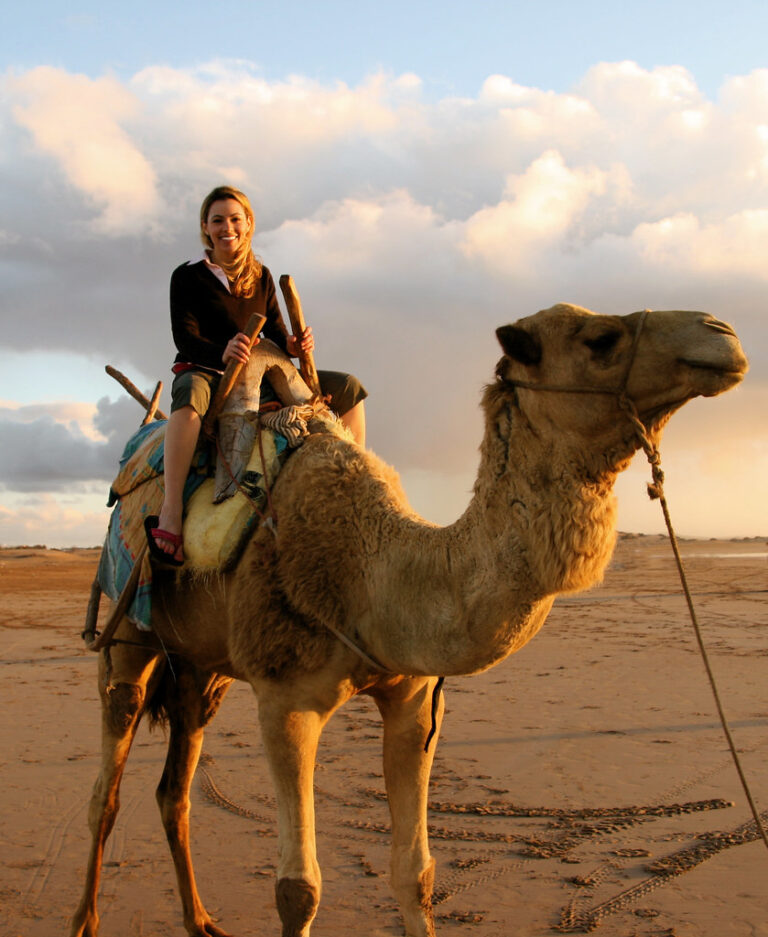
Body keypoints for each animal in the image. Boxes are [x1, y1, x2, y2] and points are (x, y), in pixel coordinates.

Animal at [71, 303, 747, 937]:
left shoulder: (414, 696)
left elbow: (416, 873)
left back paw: (200, 920)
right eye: (600, 339)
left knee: (174, 791)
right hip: (128, 633)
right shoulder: (285, 702)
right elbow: (298, 889)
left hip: (200, 667)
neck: (372, 570)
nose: (723, 334)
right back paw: (84, 920)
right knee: (105, 788)